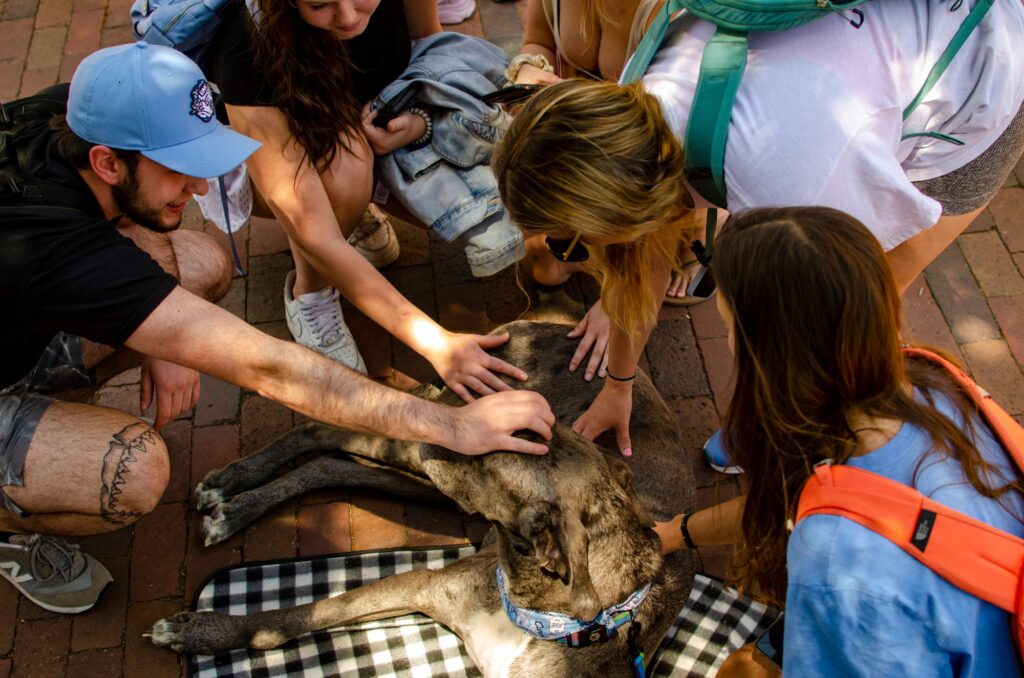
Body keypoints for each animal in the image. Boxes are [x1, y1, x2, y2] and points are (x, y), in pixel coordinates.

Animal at [148, 321, 700, 675]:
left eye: (494, 455)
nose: (455, 426)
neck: (550, 621)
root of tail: (545, 324)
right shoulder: (420, 583)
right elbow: (297, 617)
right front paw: (199, 633)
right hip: (419, 448)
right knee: (322, 428)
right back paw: (231, 488)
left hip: (433, 480)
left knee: (331, 459)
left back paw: (234, 502)